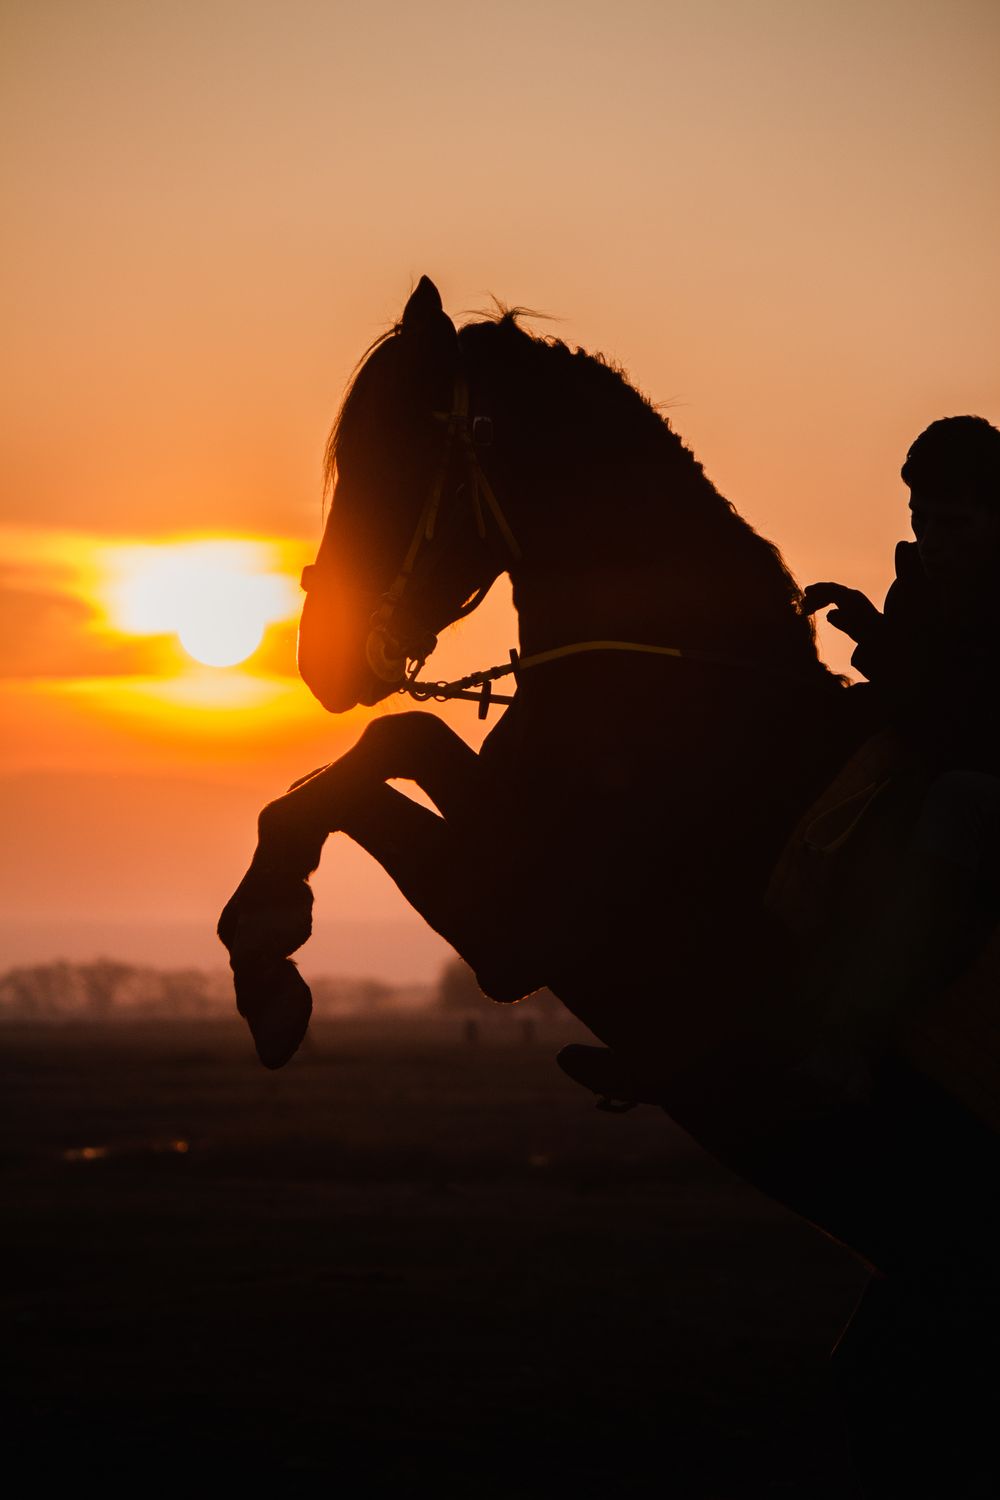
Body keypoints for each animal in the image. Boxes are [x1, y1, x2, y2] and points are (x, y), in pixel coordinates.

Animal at [218, 277, 998, 1494]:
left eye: (392, 456)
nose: (321, 657)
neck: (681, 700)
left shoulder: (515, 927)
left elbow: (352, 783)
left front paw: (268, 959)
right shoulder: (501, 848)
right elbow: (389, 748)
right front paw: (268, 944)